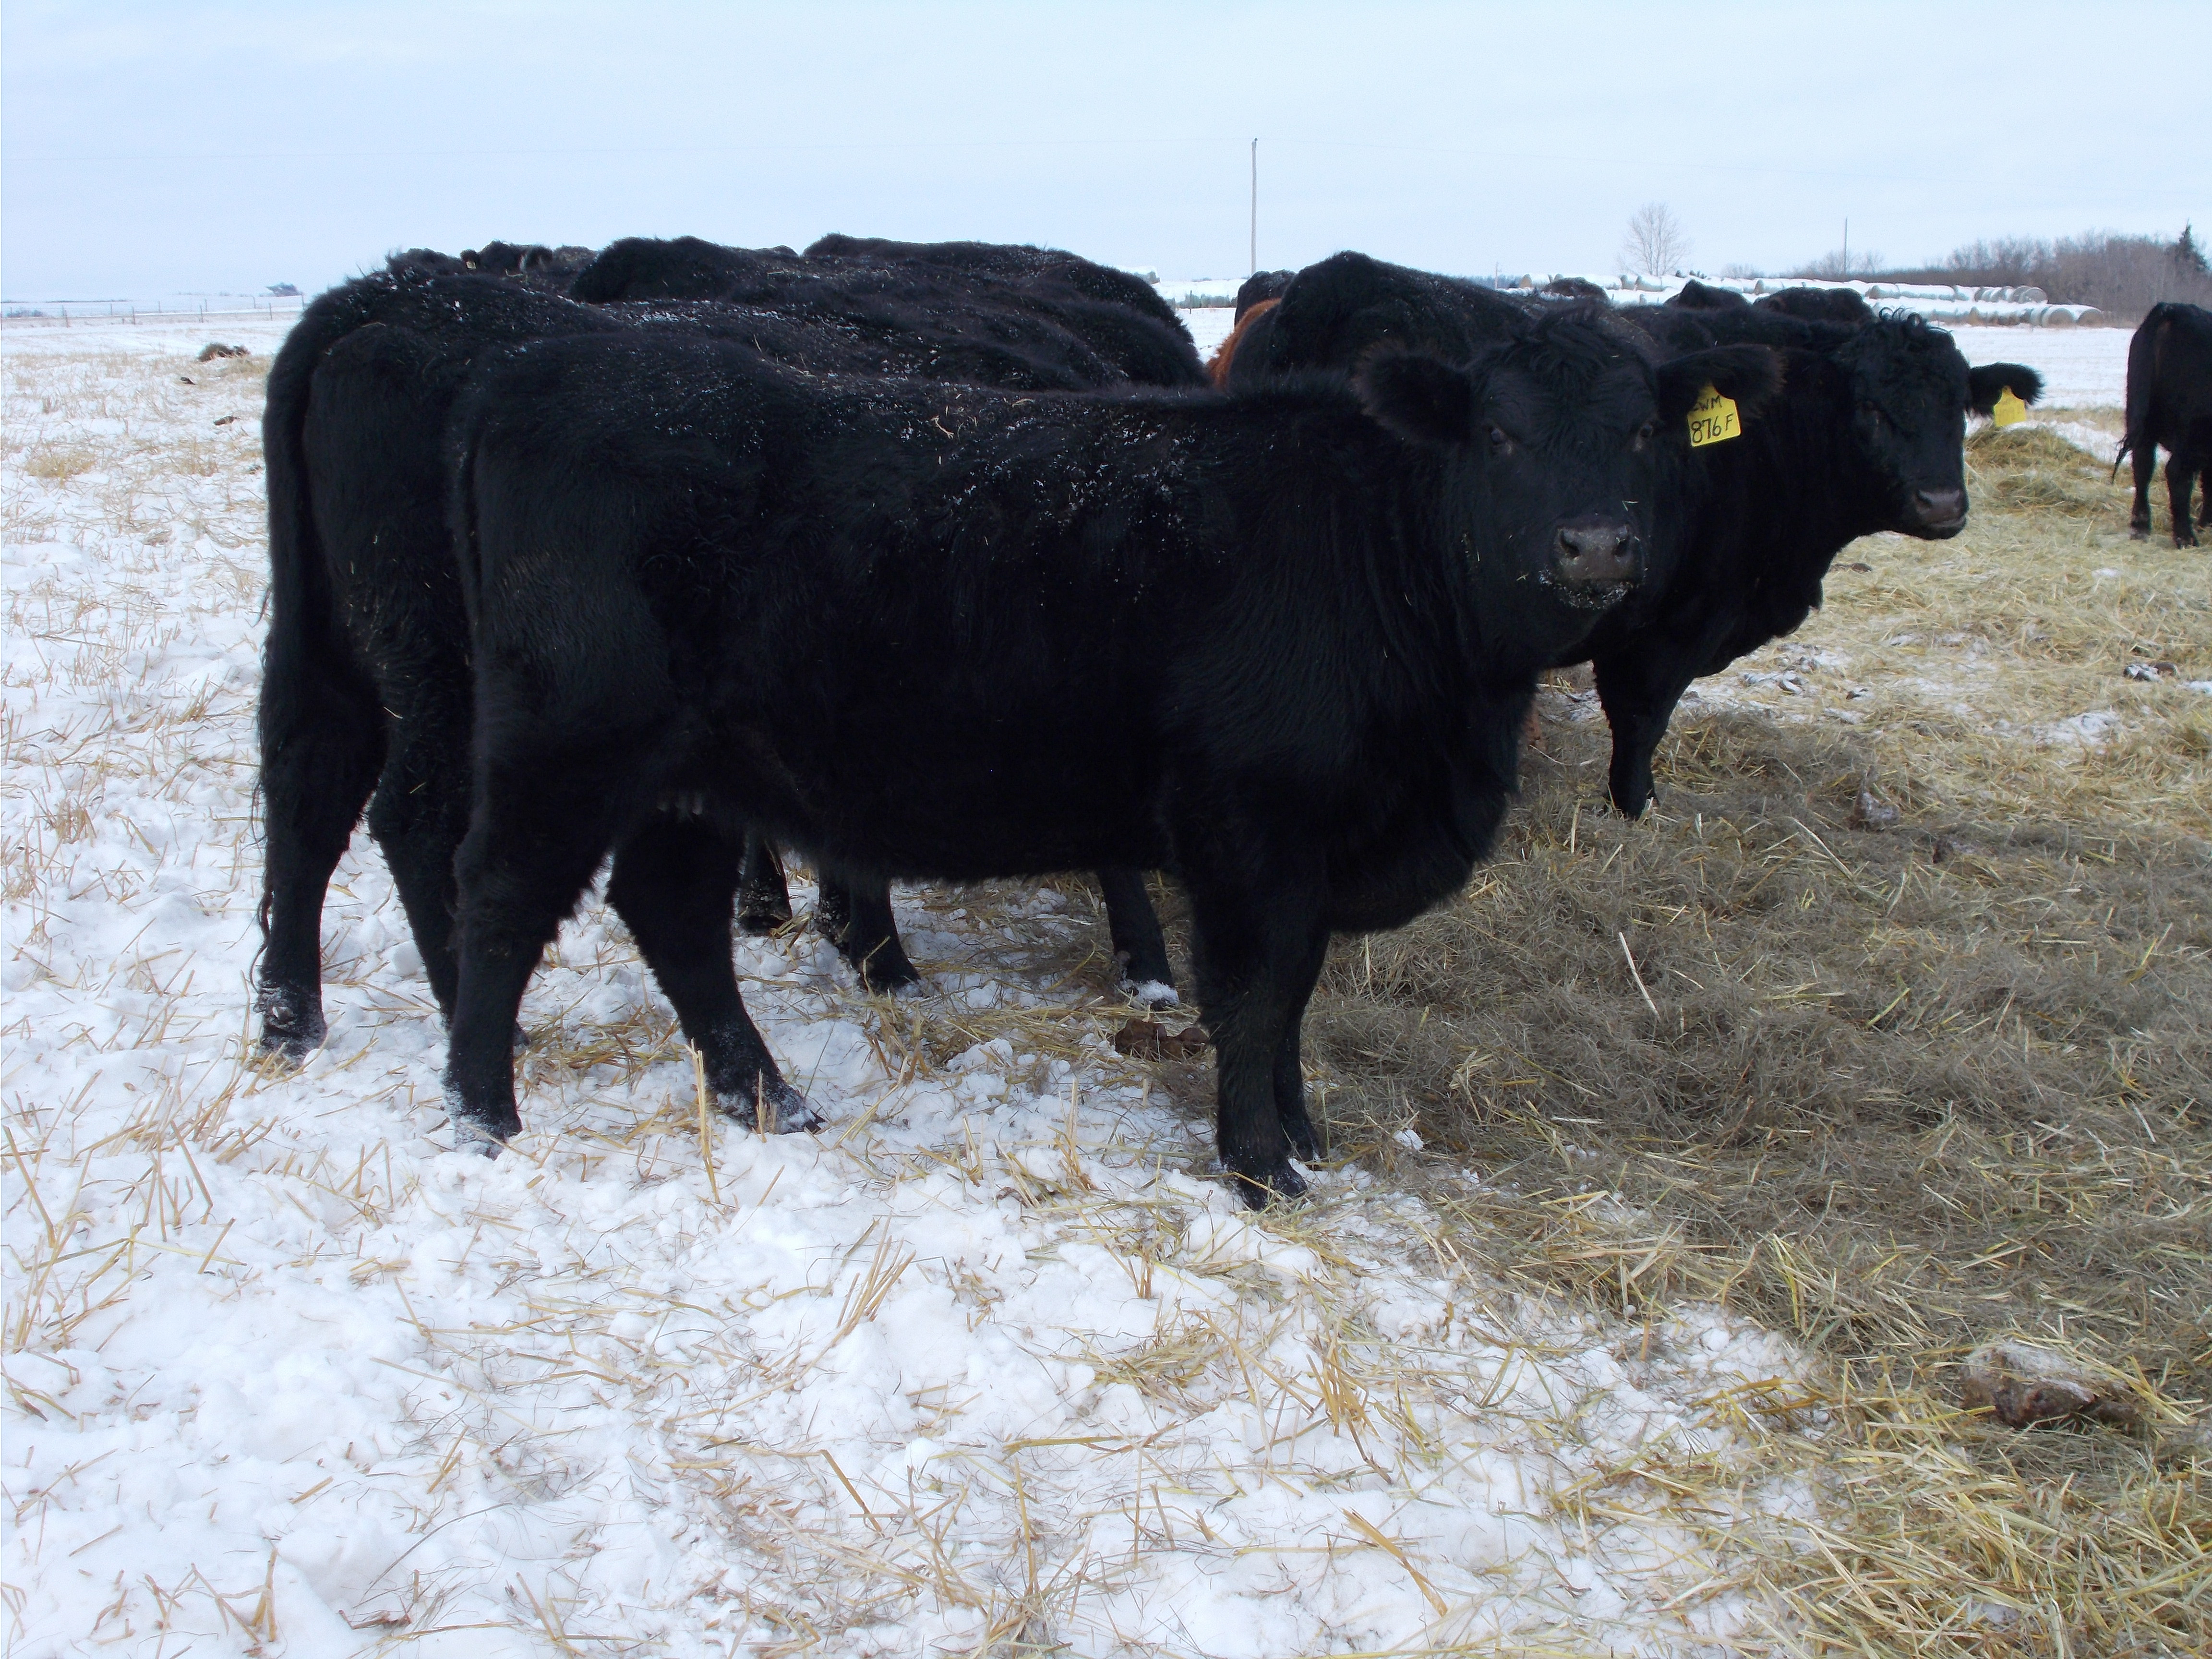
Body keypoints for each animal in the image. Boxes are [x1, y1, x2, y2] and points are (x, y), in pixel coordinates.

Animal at [254, 256, 1202, 1064]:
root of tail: (379, 297)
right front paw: (1142, 966)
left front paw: (846, 936)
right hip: (461, 666)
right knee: (418, 820)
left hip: (331, 633)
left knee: (309, 786)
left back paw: (289, 1019)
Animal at [440, 310, 1779, 1202]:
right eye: (1499, 432)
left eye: (1644, 430)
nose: (1596, 545)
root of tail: (547, 369)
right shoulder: (1252, 826)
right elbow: (1256, 995)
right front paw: (1260, 1164)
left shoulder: (1311, 847)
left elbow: (1296, 995)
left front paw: (1304, 1133)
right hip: (567, 740)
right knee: (500, 899)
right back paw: (482, 1113)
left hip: (693, 771)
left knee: (670, 915)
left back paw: (768, 1098)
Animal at [2116, 301, 2212, 546]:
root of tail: (2173, 310)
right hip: (2193, 433)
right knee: (2176, 472)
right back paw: (2185, 537)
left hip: (2139, 419)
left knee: (2142, 465)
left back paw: (2141, 526)